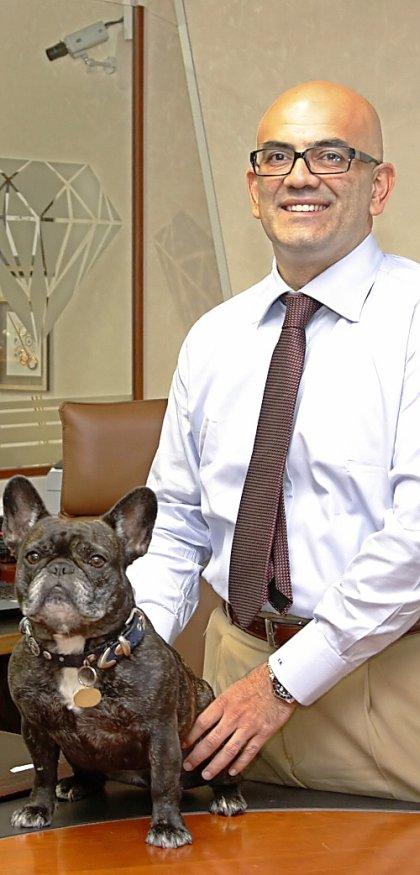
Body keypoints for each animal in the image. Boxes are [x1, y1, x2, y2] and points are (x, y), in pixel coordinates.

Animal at [3, 476, 246, 847]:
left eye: (97, 560)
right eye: (32, 556)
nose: (60, 567)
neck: (76, 654)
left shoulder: (160, 732)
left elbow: (164, 782)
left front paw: (167, 826)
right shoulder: (35, 727)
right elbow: (42, 773)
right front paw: (37, 808)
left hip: (216, 739)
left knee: (215, 775)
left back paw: (227, 797)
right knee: (89, 774)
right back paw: (76, 784)